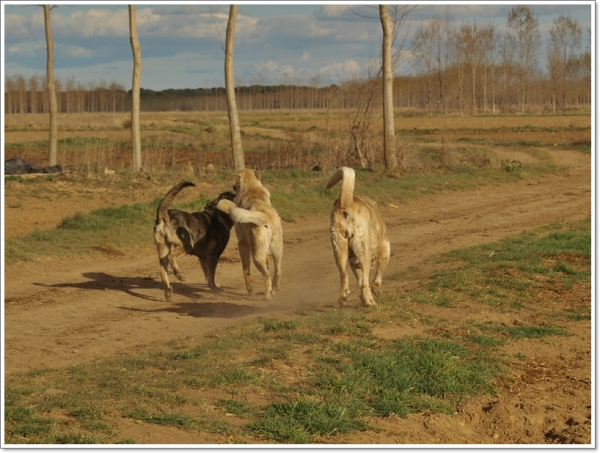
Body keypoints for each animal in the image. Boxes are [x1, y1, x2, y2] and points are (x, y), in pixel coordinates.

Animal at [326, 167, 392, 308]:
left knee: (344, 274)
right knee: (365, 283)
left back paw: (344, 296)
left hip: (339, 251)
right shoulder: (385, 250)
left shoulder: (354, 263)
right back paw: (370, 302)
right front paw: (375, 289)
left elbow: (361, 280)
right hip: (363, 253)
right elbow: (376, 275)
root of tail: (347, 204)